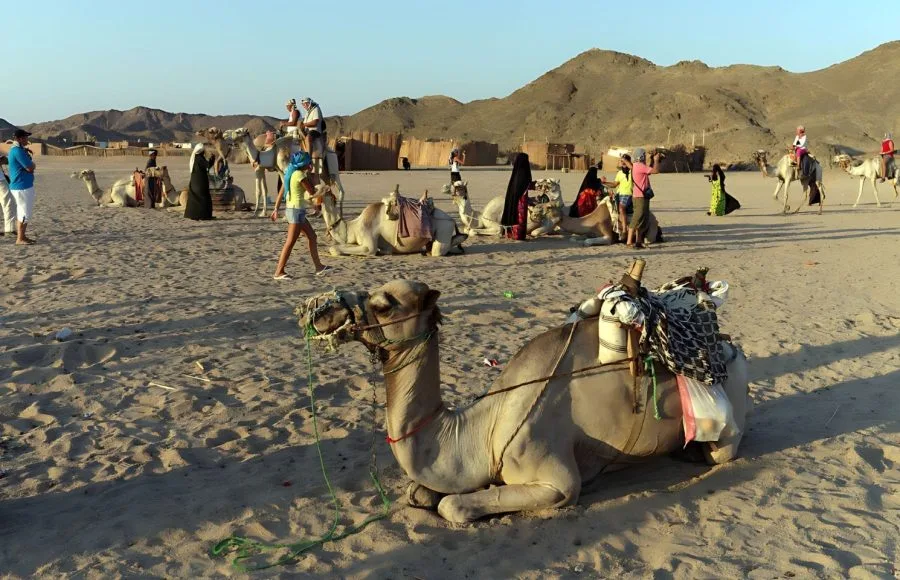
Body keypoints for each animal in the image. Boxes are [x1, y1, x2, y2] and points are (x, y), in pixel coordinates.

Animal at [303, 270, 750, 523]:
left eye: (384, 304)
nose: (321, 310)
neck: (482, 430)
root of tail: (733, 348)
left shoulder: (557, 478)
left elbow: (454, 506)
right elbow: (421, 491)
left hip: (727, 426)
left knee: (722, 452)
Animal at [314, 186, 467, 257]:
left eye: (321, 189)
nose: (310, 196)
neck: (352, 227)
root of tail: (451, 220)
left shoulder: (369, 243)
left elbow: (335, 248)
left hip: (444, 227)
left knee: (438, 250)